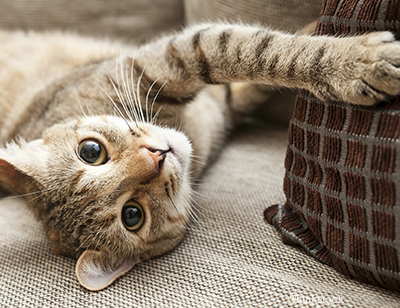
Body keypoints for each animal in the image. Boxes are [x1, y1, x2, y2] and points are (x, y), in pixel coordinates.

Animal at [0, 22, 400, 290]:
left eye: (91, 151)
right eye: (132, 215)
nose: (157, 155)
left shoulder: (174, 63)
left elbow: (254, 61)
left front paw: (345, 52)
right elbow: (260, 54)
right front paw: (360, 63)